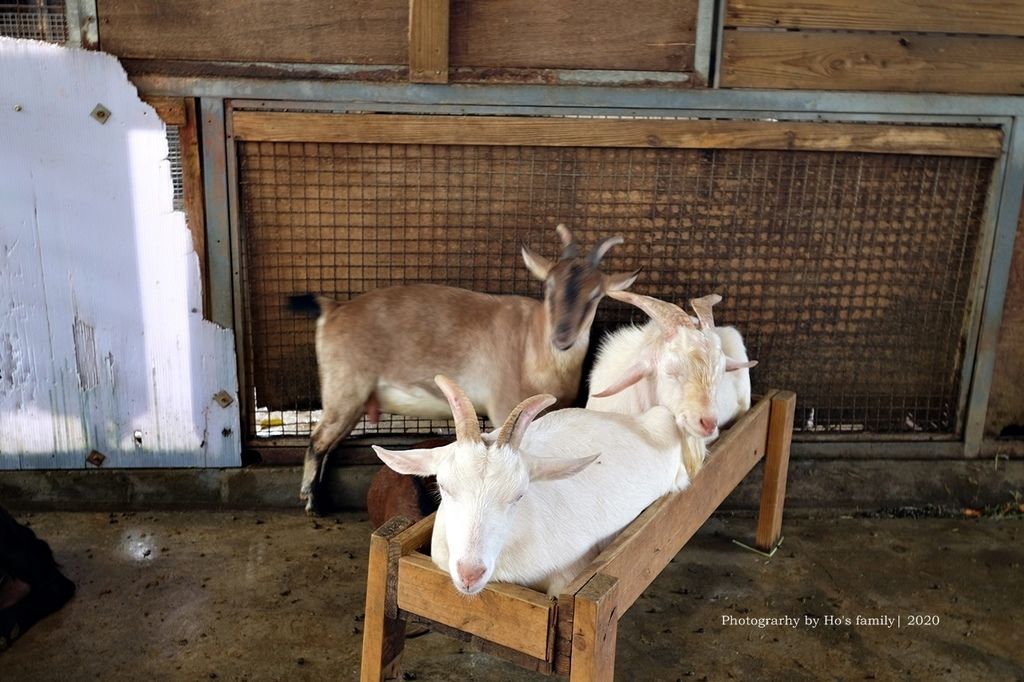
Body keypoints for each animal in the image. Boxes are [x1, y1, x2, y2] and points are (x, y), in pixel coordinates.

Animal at [292, 225, 634, 512]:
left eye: (595, 295)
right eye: (549, 286)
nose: (562, 337)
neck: (531, 342)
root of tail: (334, 309)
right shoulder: (503, 406)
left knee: (329, 444)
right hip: (344, 389)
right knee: (318, 440)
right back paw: (312, 503)